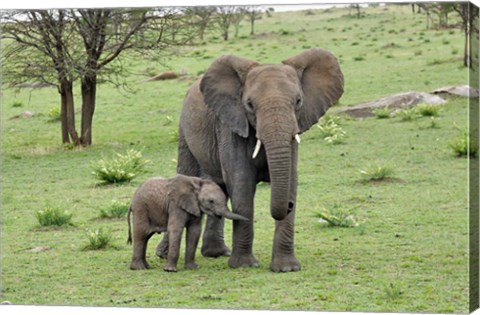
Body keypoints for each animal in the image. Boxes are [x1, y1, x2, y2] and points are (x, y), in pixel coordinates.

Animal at [167, 48, 344, 272]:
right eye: (249, 105)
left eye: (298, 101)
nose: (288, 206)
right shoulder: (232, 125)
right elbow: (242, 184)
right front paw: (244, 265)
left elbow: (291, 180)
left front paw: (286, 268)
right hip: (184, 131)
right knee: (188, 174)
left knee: (219, 188)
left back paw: (216, 253)